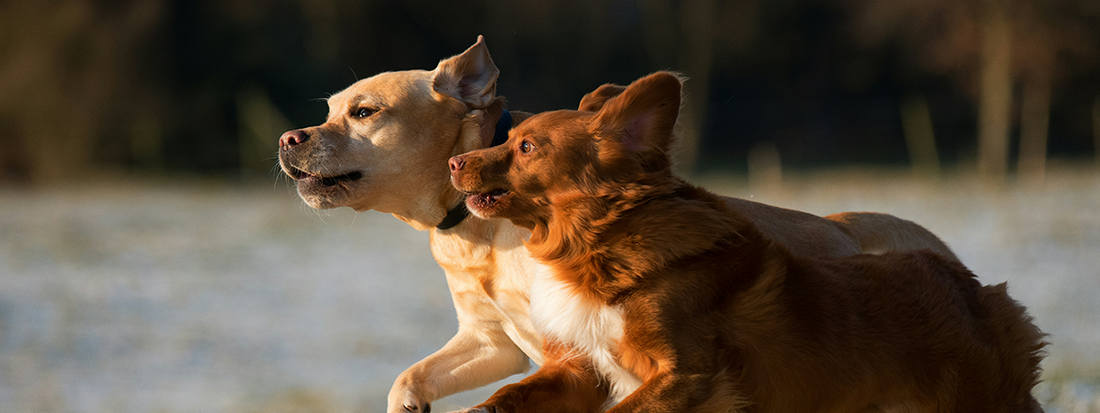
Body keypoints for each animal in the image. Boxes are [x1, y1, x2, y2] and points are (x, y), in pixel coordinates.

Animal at [281, 36, 954, 413]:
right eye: (331, 110)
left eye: (365, 112)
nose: (289, 138)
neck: (476, 233)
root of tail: (847, 226)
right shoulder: (494, 342)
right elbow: (409, 378)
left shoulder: (576, 354)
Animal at [448, 72, 1047, 411]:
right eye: (506, 138)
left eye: (526, 147)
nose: (454, 163)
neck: (598, 245)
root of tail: (968, 284)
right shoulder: (583, 372)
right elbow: (506, 397)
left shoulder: (690, 376)